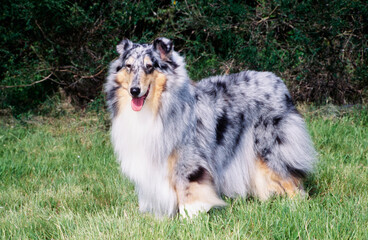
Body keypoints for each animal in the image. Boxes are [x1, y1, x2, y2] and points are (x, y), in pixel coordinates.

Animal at [105, 37, 318, 218]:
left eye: (149, 67)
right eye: (129, 66)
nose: (134, 91)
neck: (157, 107)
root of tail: (278, 82)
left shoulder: (187, 160)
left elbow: (187, 190)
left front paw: (190, 219)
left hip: (270, 148)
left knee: (291, 181)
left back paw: (296, 208)